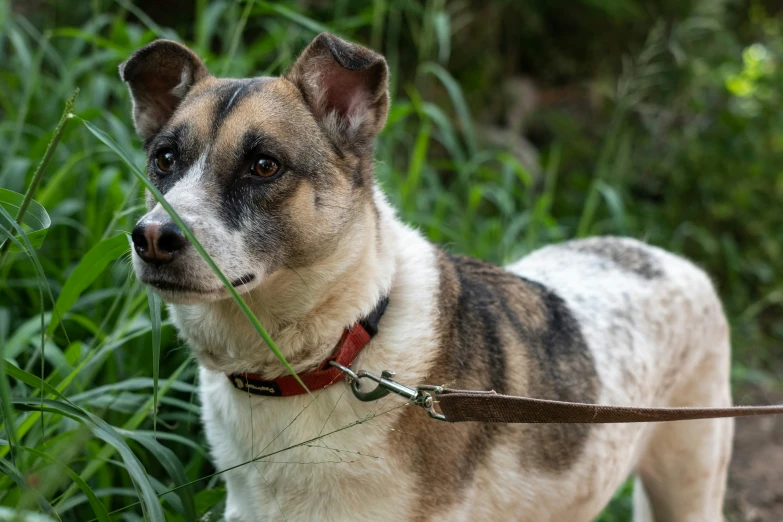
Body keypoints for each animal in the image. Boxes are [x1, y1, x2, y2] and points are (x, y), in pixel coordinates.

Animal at [121, 32, 736, 520]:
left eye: (264, 165)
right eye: (165, 160)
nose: (150, 238)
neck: (333, 353)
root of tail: (661, 254)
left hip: (692, 483)